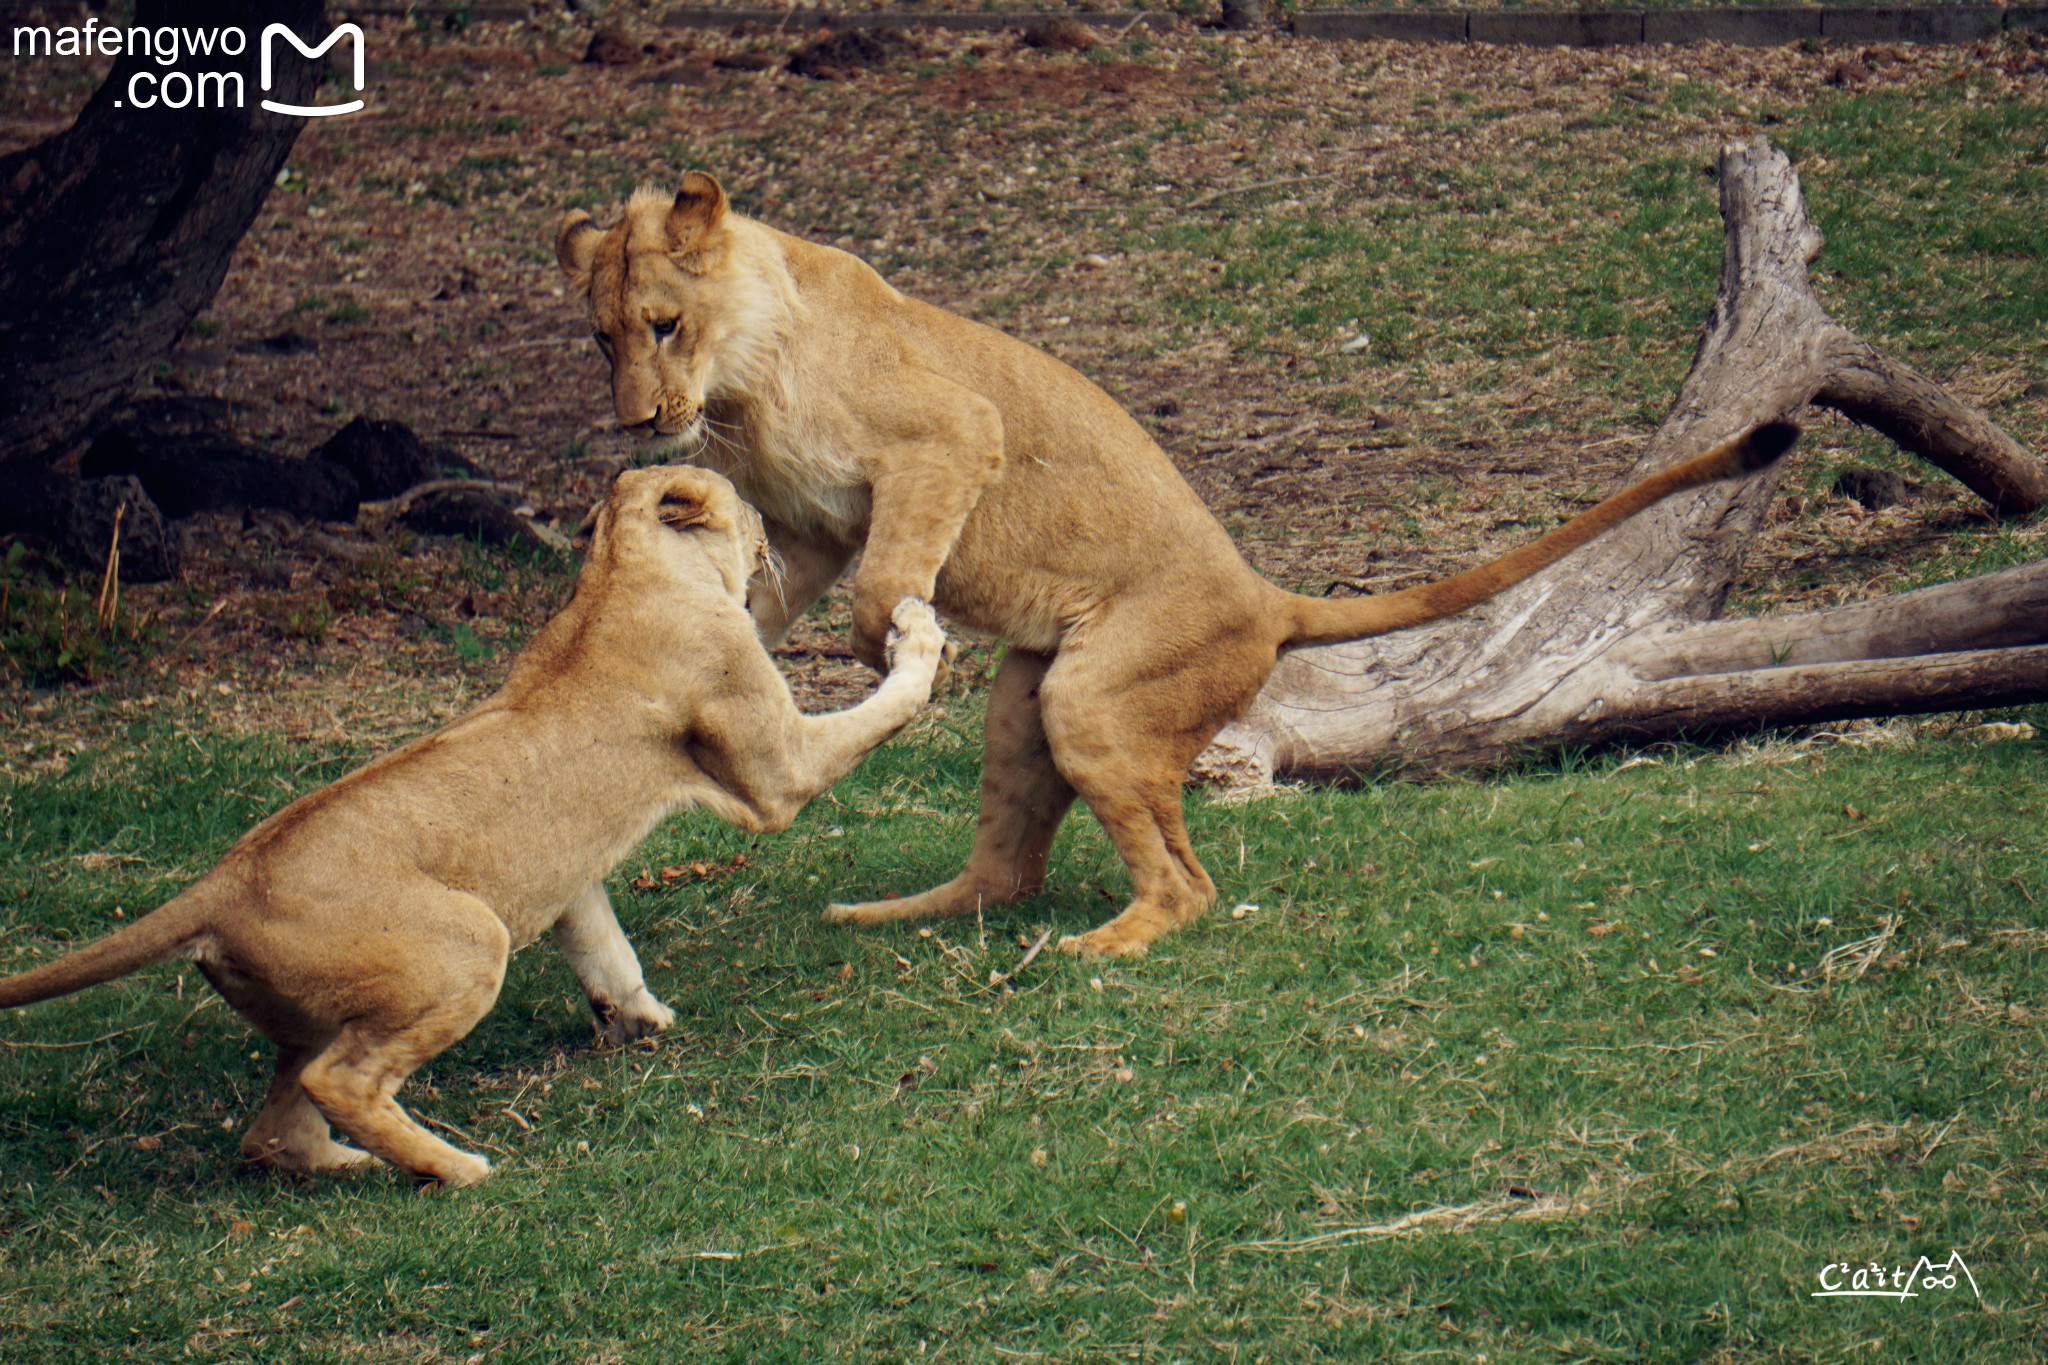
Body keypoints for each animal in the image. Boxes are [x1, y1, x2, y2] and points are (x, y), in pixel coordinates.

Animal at [0, 466, 942, 1186]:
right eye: (745, 503)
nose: (768, 533)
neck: (616, 570)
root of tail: (223, 882)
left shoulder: (567, 870)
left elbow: (603, 944)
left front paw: (640, 1018)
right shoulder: (778, 775)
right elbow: (884, 705)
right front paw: (919, 634)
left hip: (319, 1009)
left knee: (275, 1128)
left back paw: (366, 1162)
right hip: (466, 942)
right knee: (343, 1081)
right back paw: (457, 1168)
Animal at [552, 173, 1802, 961]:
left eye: (662, 324)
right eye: (604, 338)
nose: (635, 422)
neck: (742, 381)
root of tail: (1263, 595)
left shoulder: (945, 439)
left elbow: (885, 573)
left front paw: (881, 637)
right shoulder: (806, 524)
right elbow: (758, 597)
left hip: (1095, 701)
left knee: (1188, 885)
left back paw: (1110, 943)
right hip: (1028, 709)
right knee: (1006, 868)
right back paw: (899, 912)